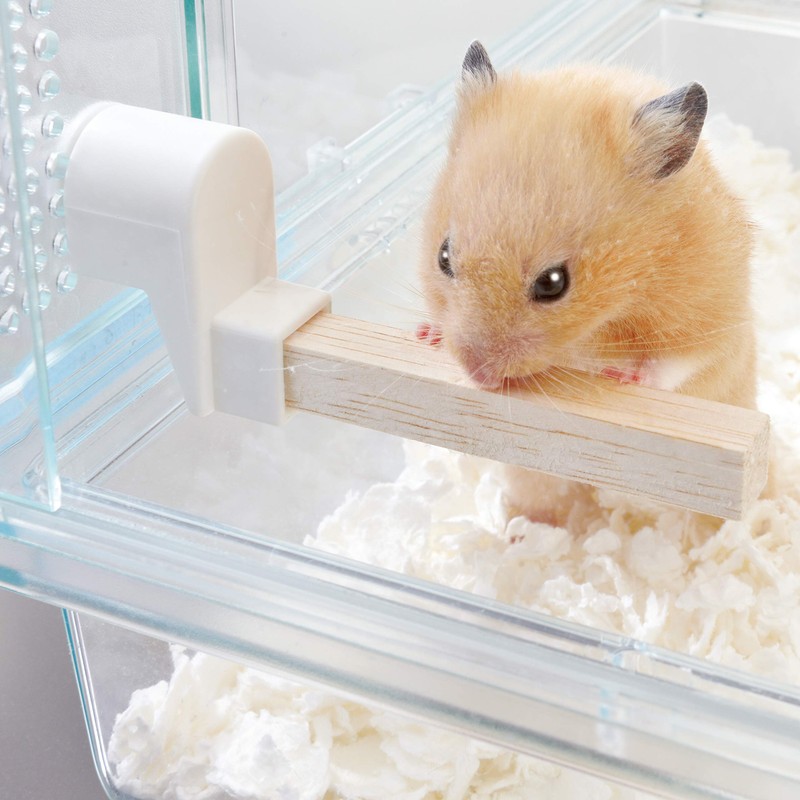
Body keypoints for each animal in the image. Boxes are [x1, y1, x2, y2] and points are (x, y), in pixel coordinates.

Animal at [418, 42, 757, 524]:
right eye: (443, 257)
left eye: (553, 283)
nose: (476, 374)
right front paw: (426, 334)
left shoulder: (710, 311)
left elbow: (679, 359)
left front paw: (625, 376)